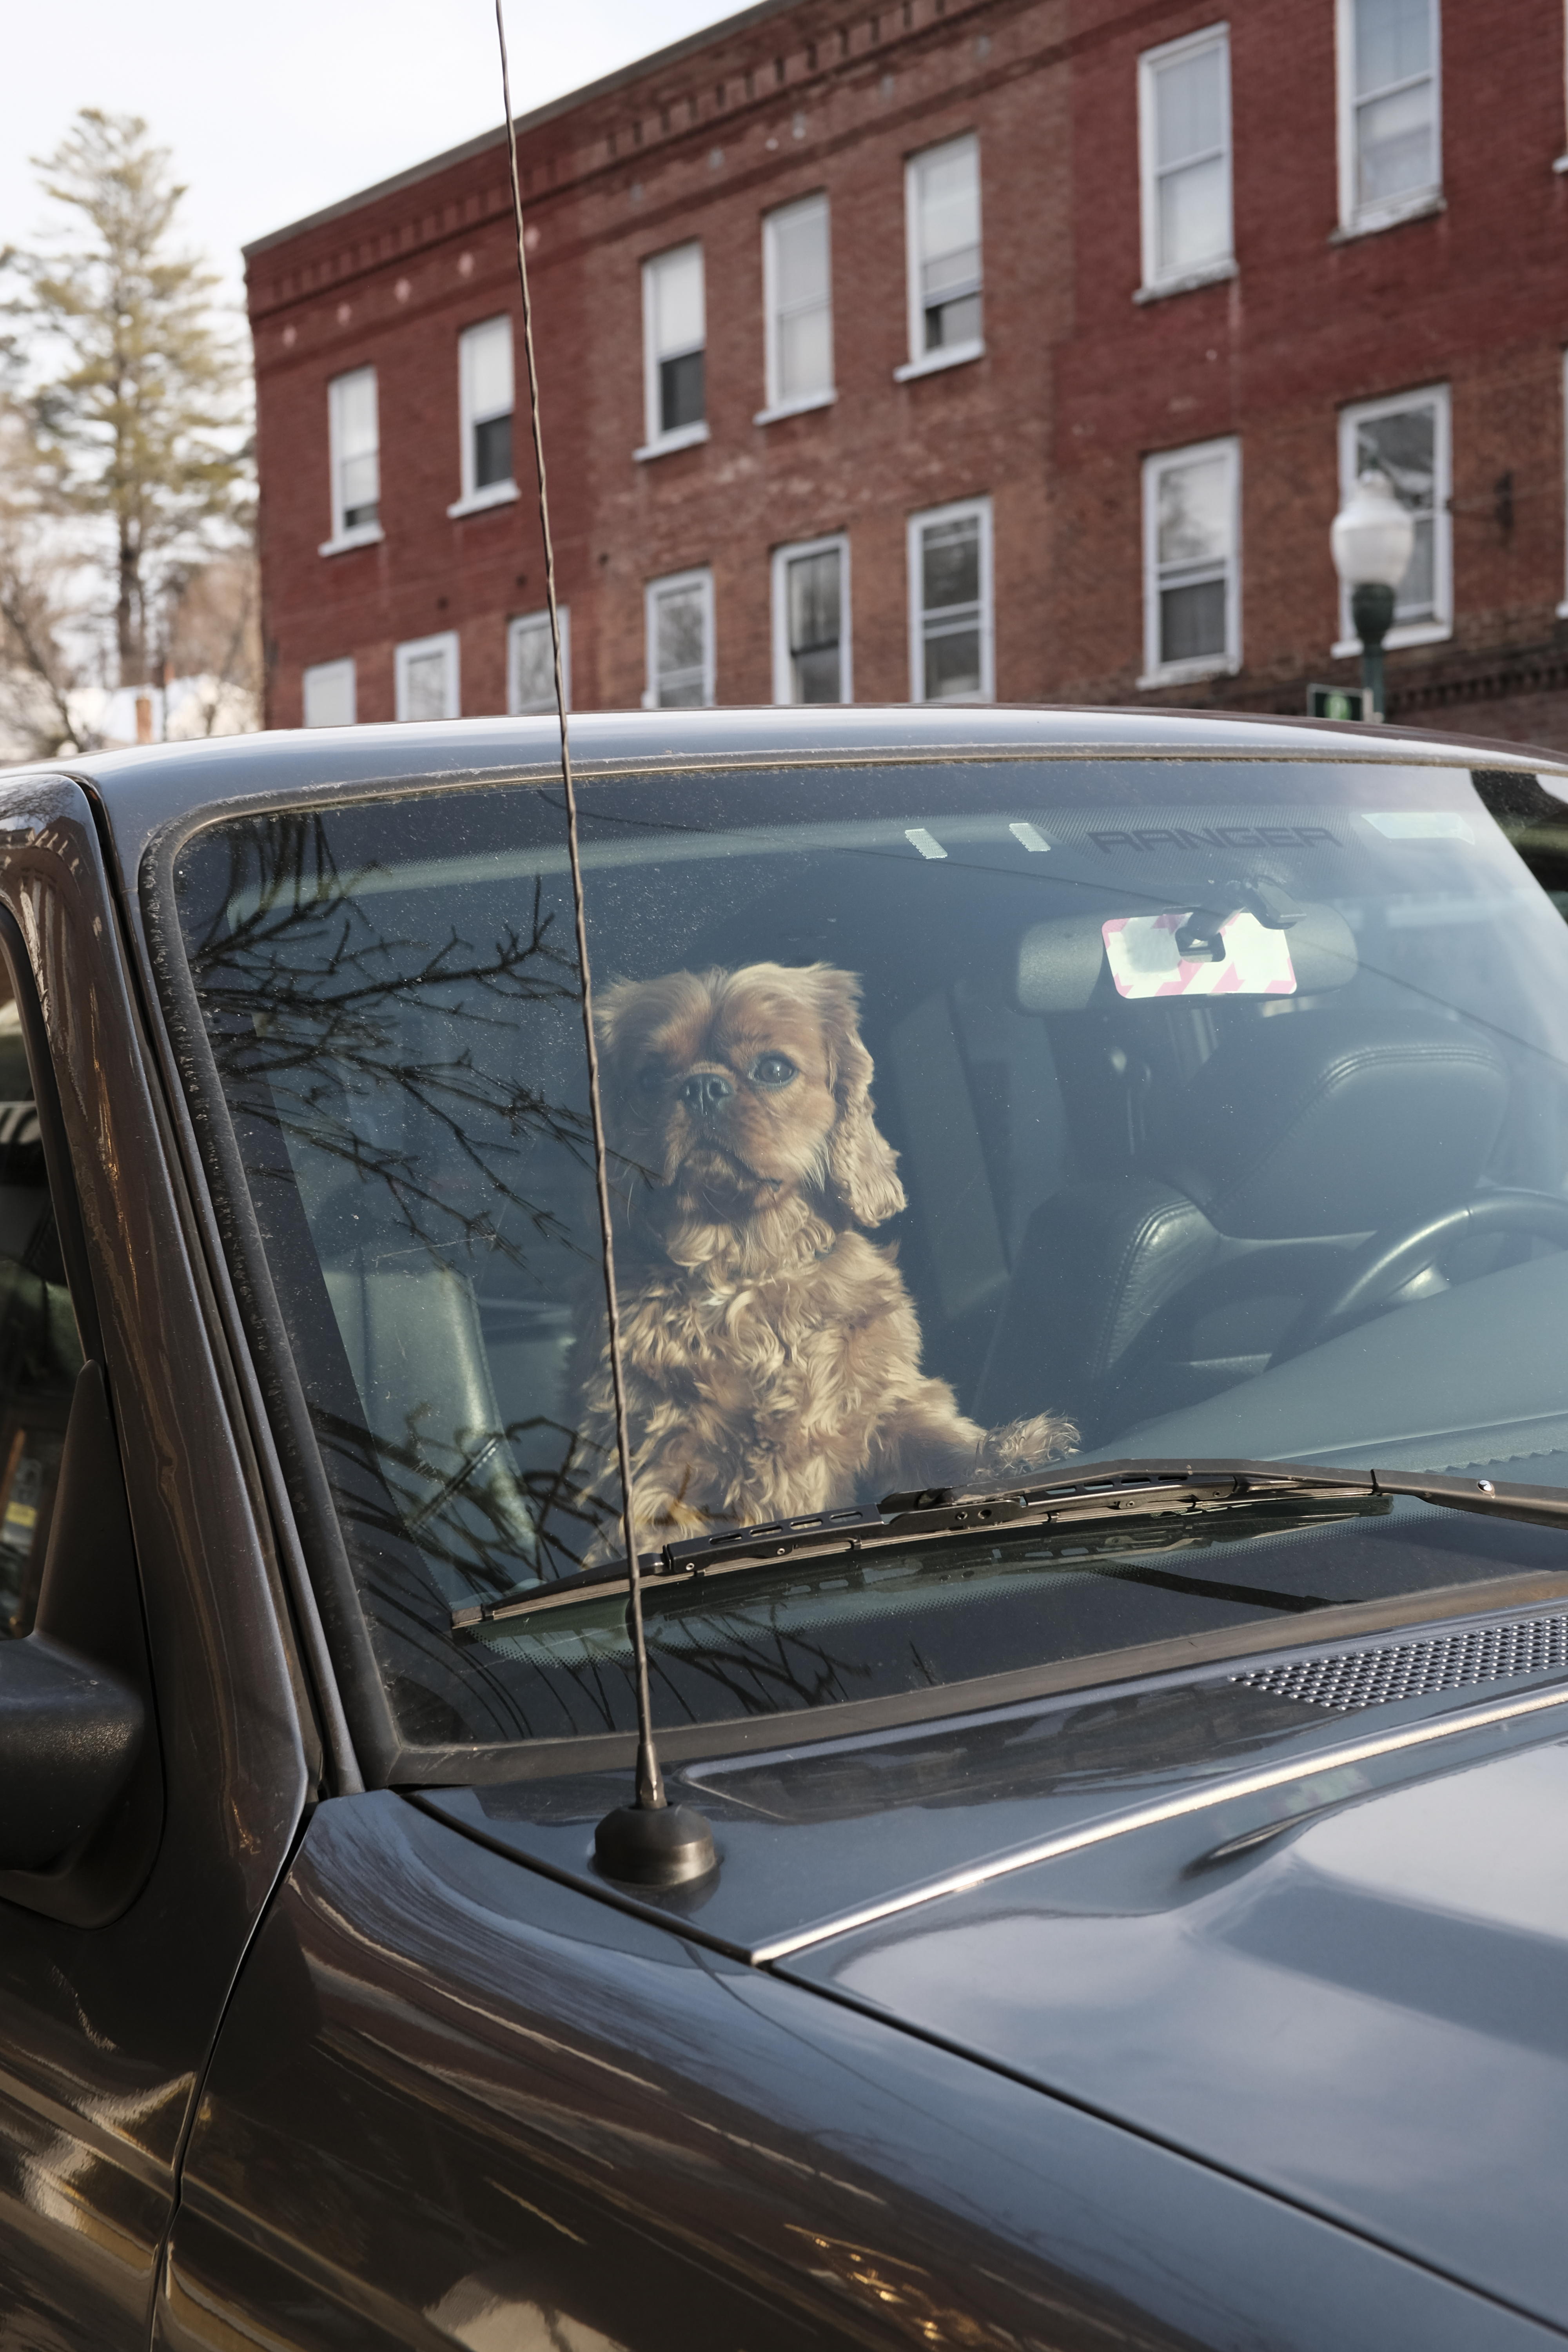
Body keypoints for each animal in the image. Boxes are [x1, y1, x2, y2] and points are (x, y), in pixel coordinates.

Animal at [566, 960, 1081, 1562]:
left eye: (774, 1069)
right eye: (649, 1079)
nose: (701, 1087)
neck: (744, 1268)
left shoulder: (888, 1406)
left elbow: (939, 1443)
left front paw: (1011, 1453)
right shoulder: (657, 1465)